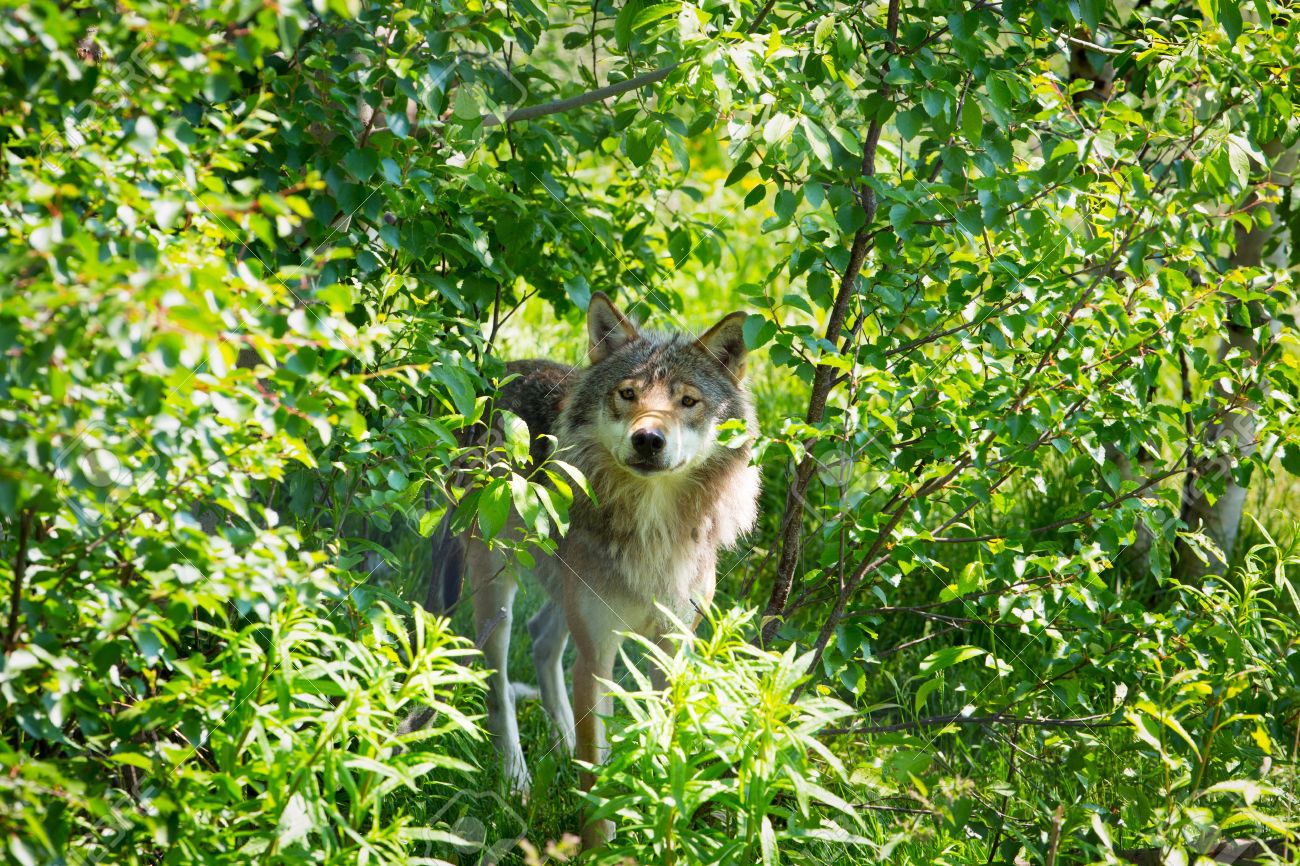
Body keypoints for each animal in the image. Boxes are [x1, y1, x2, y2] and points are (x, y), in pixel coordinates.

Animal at [430, 292, 760, 846]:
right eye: (628, 394)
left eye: (688, 401)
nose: (648, 439)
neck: (652, 528)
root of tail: (499, 373)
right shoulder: (597, 659)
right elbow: (597, 776)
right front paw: (600, 847)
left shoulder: (671, 654)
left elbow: (661, 753)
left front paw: (661, 831)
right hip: (499, 591)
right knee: (498, 680)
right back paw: (517, 779)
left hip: (565, 593)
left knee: (542, 639)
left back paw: (559, 748)